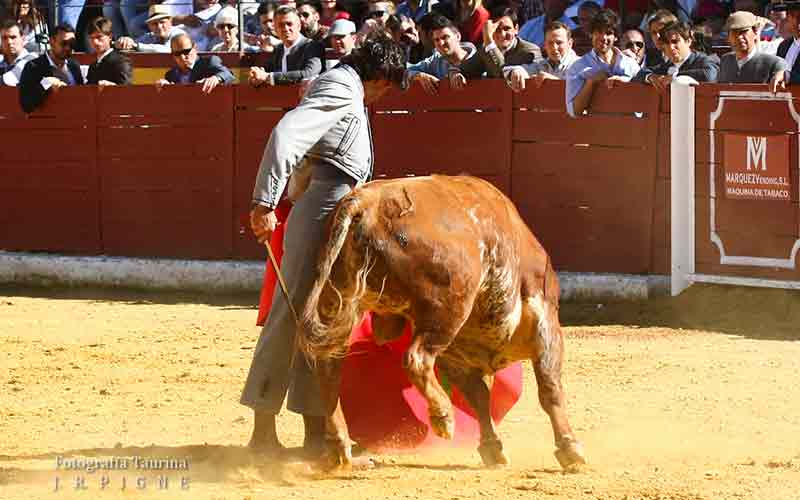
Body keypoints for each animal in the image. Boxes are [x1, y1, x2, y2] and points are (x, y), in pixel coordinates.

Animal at [296, 175, 584, 468]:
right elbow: (549, 389)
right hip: (447, 308)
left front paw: (492, 447)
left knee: (328, 366)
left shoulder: (457, 356)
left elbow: (479, 397)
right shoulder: (545, 324)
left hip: (339, 299)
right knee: (416, 358)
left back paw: (339, 446)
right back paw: (443, 416)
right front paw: (570, 449)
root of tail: (366, 201)